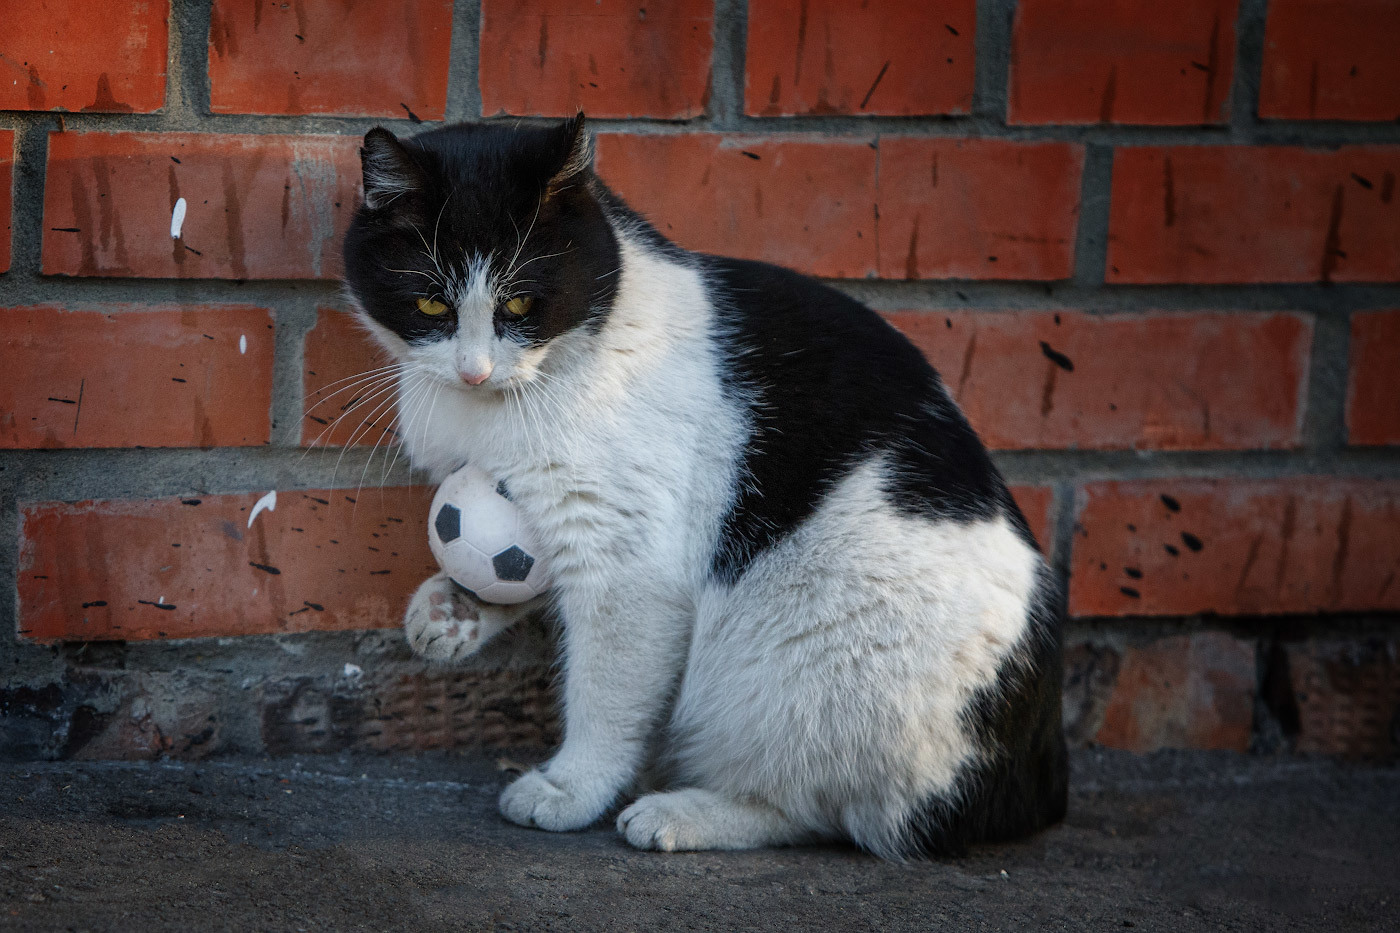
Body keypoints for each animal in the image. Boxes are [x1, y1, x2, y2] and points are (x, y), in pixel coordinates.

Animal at [344, 118, 1064, 857]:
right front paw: (455, 610)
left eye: (520, 302)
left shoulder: (631, 563)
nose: (474, 370)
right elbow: (518, 569)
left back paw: (680, 814)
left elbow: (607, 691)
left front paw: (571, 788)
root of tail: (1038, 775)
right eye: (430, 302)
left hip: (808, 649)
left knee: (818, 806)